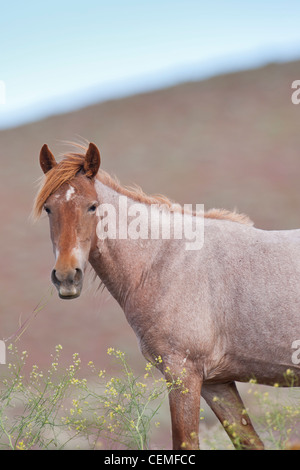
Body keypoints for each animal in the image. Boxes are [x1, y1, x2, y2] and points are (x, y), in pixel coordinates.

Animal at [34, 141, 298, 450]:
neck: (164, 260)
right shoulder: (216, 384)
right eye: (49, 208)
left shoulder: (183, 375)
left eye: (92, 206)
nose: (66, 277)